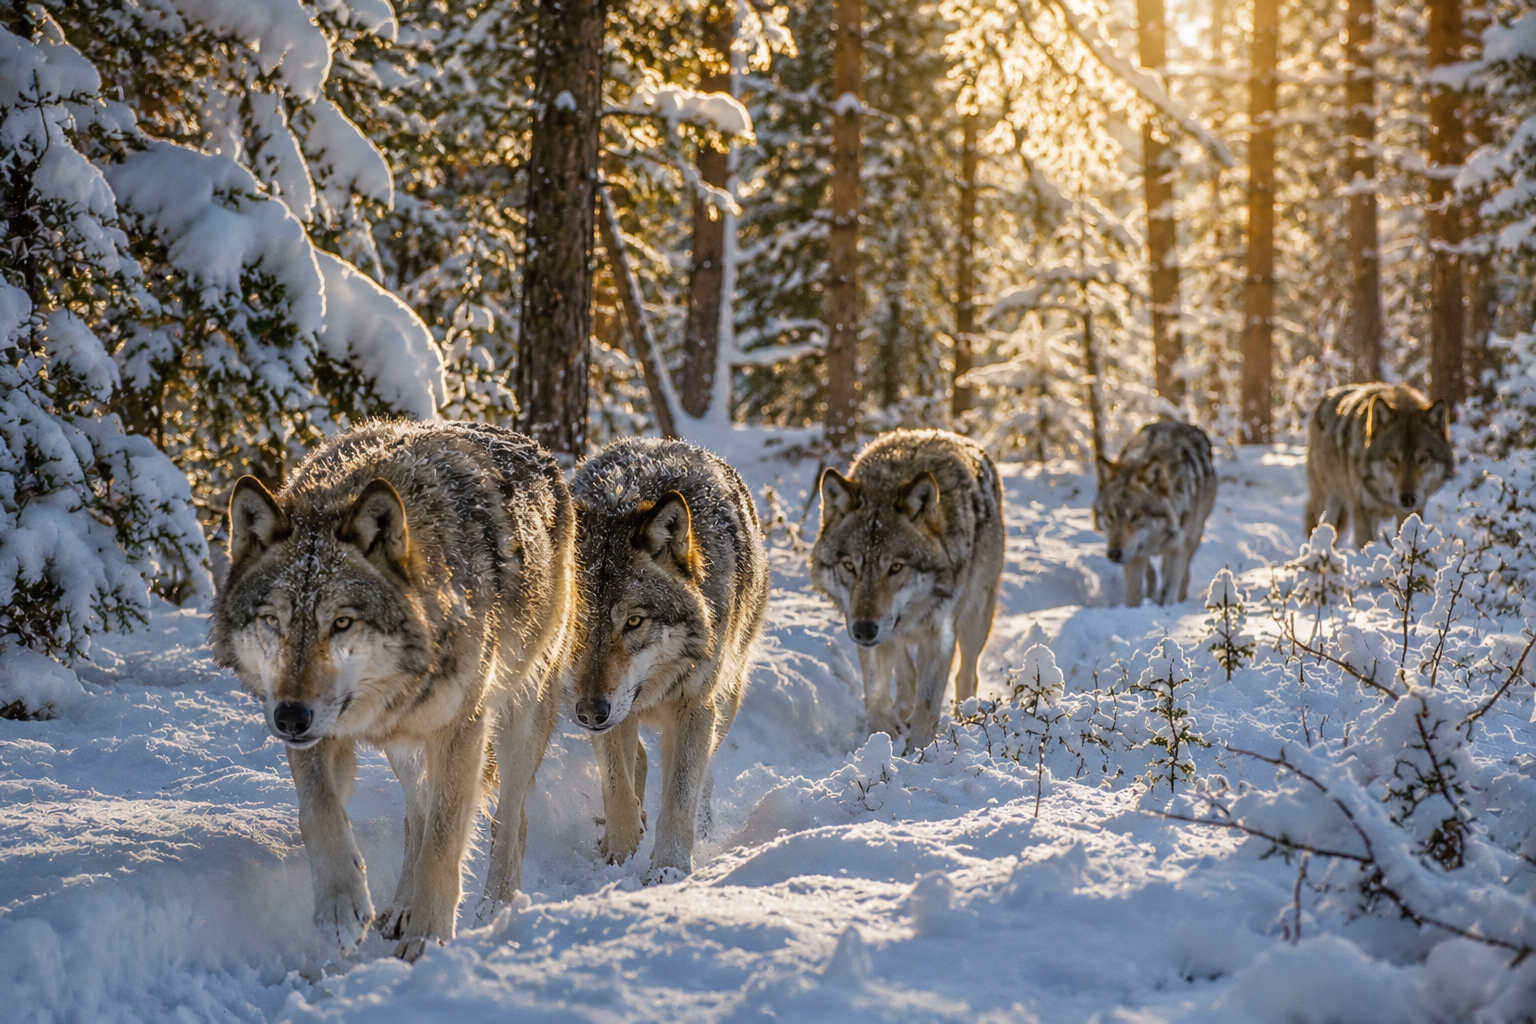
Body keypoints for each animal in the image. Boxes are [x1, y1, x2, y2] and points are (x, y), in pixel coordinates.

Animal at [209, 421, 574, 961]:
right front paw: (341, 909)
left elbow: (444, 842)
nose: (290, 718)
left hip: (518, 718)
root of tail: (537, 448)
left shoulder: (461, 729)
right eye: (273, 621)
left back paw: (497, 906)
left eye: (341, 623)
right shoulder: (321, 737)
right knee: (414, 817)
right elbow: (319, 813)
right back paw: (401, 906)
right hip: (405, 748)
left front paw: (429, 938)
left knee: (511, 818)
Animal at [567, 438, 768, 881]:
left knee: (705, 770)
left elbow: (680, 797)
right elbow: (616, 785)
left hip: (726, 695)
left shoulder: (693, 706)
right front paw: (620, 851)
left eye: (634, 621)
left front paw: (669, 872)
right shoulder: (601, 704)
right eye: (578, 623)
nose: (590, 713)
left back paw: (702, 822)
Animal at [811, 429, 1005, 751]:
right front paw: (882, 741)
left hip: (975, 617)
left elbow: (927, 704)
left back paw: (966, 716)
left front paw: (920, 752)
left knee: (967, 674)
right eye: (850, 566)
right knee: (906, 671)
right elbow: (876, 696)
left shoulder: (941, 632)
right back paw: (902, 709)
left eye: (896, 567)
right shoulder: (867, 630)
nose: (865, 630)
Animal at [1093, 420, 1217, 607]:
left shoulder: (1177, 550)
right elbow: (1134, 594)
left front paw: (1165, 607)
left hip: (1193, 537)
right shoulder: (1133, 556)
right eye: (1110, 515)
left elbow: (1169, 589)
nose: (1114, 554)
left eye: (1137, 515)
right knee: (1151, 573)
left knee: (1183, 574)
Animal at [1305, 383, 1453, 548]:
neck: (1388, 502)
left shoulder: (1410, 513)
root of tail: (1324, 397)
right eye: (1393, 458)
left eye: (1423, 459)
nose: (1408, 498)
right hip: (1330, 503)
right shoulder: (1362, 513)